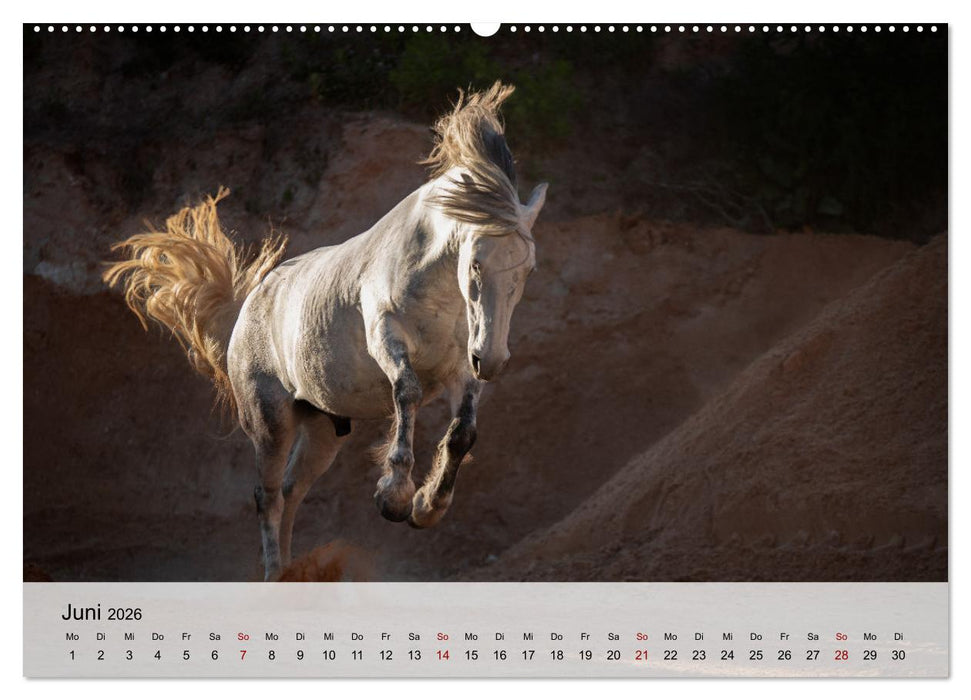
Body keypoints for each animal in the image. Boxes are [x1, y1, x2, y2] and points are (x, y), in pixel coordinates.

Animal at [103, 82, 547, 581]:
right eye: (474, 264)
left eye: (527, 269)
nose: (492, 359)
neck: (437, 292)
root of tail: (248, 306)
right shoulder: (386, 338)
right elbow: (408, 392)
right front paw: (393, 496)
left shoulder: (460, 371)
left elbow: (462, 434)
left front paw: (426, 507)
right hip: (270, 422)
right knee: (267, 495)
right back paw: (274, 573)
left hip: (321, 429)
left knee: (292, 490)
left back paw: (292, 572)